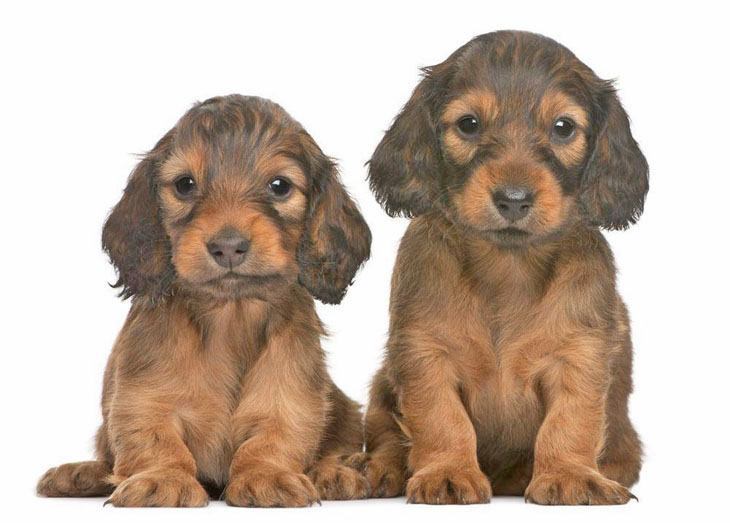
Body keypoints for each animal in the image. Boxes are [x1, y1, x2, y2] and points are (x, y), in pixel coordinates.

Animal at [35, 95, 370, 508]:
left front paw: (267, 476)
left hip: (345, 409)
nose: (228, 246)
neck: (229, 317)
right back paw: (79, 473)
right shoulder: (142, 397)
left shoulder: (290, 397)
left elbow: (274, 439)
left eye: (280, 186)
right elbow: (154, 440)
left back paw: (334, 473)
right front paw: (162, 479)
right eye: (184, 184)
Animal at [352, 30, 648, 506]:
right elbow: (441, 419)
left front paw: (569, 474)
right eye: (469, 124)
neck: (508, 267)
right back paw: (373, 468)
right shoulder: (424, 352)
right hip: (382, 384)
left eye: (563, 127)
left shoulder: (579, 356)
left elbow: (571, 422)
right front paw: (448, 472)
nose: (513, 199)